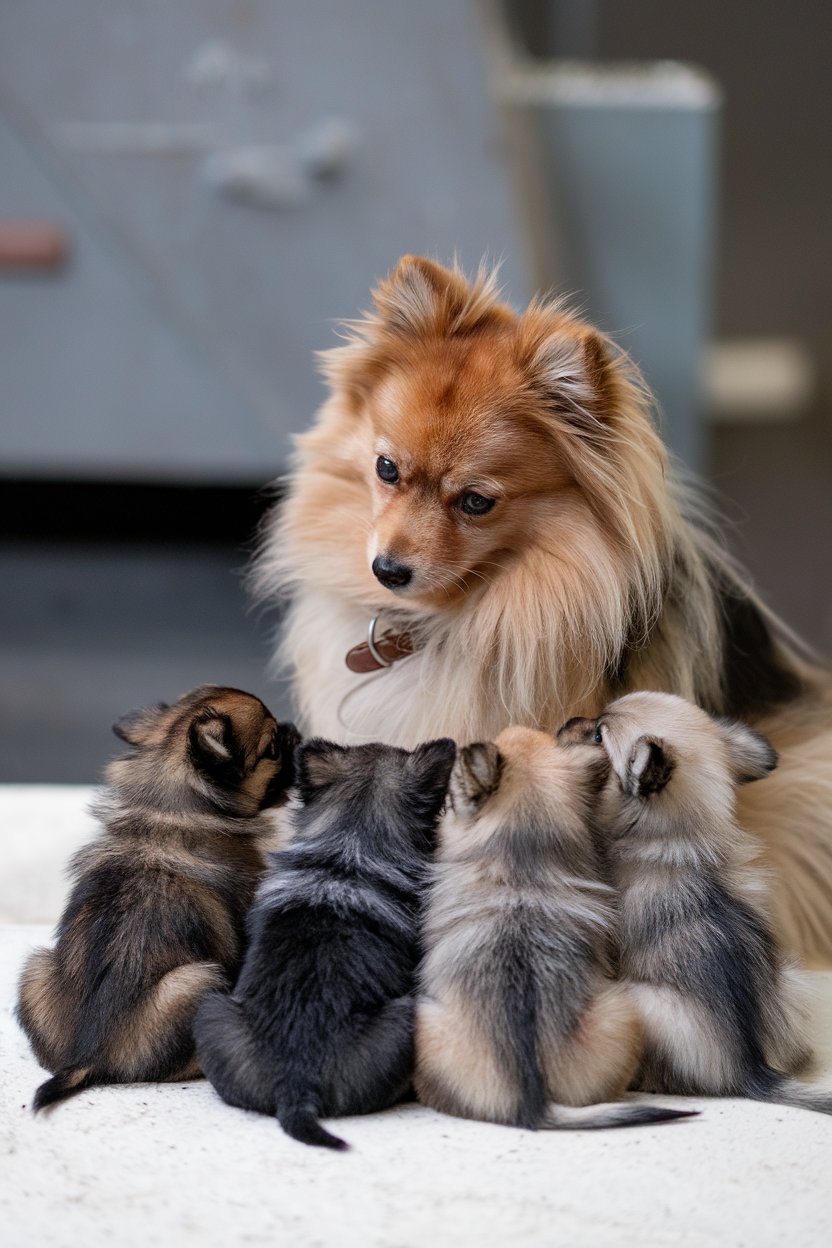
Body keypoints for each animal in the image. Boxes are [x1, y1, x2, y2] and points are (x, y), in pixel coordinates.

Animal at [17, 683, 299, 1113]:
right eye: (272, 747)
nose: (295, 730)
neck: (169, 805)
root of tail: (86, 1059)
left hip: (35, 968)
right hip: (197, 979)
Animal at [558, 698, 832, 1118]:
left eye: (599, 736)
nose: (568, 720)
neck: (677, 836)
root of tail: (751, 1067)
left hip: (635, 1001)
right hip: (790, 980)